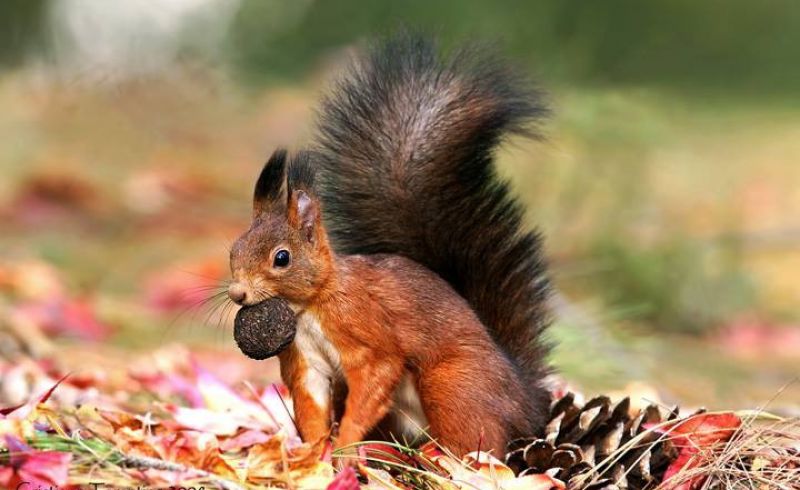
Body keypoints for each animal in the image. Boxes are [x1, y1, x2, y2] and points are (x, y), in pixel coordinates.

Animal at [227, 34, 552, 461]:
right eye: (233, 250)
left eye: (281, 258)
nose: (237, 293)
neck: (312, 306)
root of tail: (525, 401)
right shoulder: (304, 357)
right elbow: (311, 402)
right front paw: (313, 453)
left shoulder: (368, 334)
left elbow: (375, 377)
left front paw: (344, 445)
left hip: (452, 387)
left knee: (477, 441)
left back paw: (438, 458)